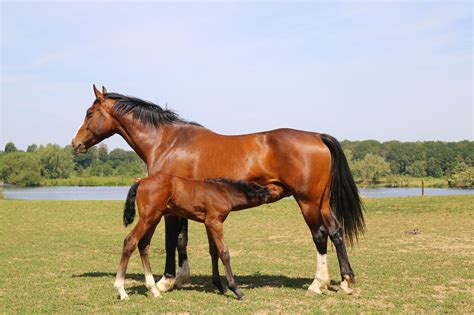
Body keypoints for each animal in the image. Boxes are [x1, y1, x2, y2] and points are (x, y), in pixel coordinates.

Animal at [114, 175, 274, 302]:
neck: (223, 192)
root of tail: (141, 182)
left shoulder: (209, 223)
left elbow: (214, 252)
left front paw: (220, 286)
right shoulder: (215, 222)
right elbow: (224, 252)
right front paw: (236, 290)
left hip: (154, 217)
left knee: (143, 245)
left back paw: (153, 290)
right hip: (147, 217)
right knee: (130, 241)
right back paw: (122, 291)